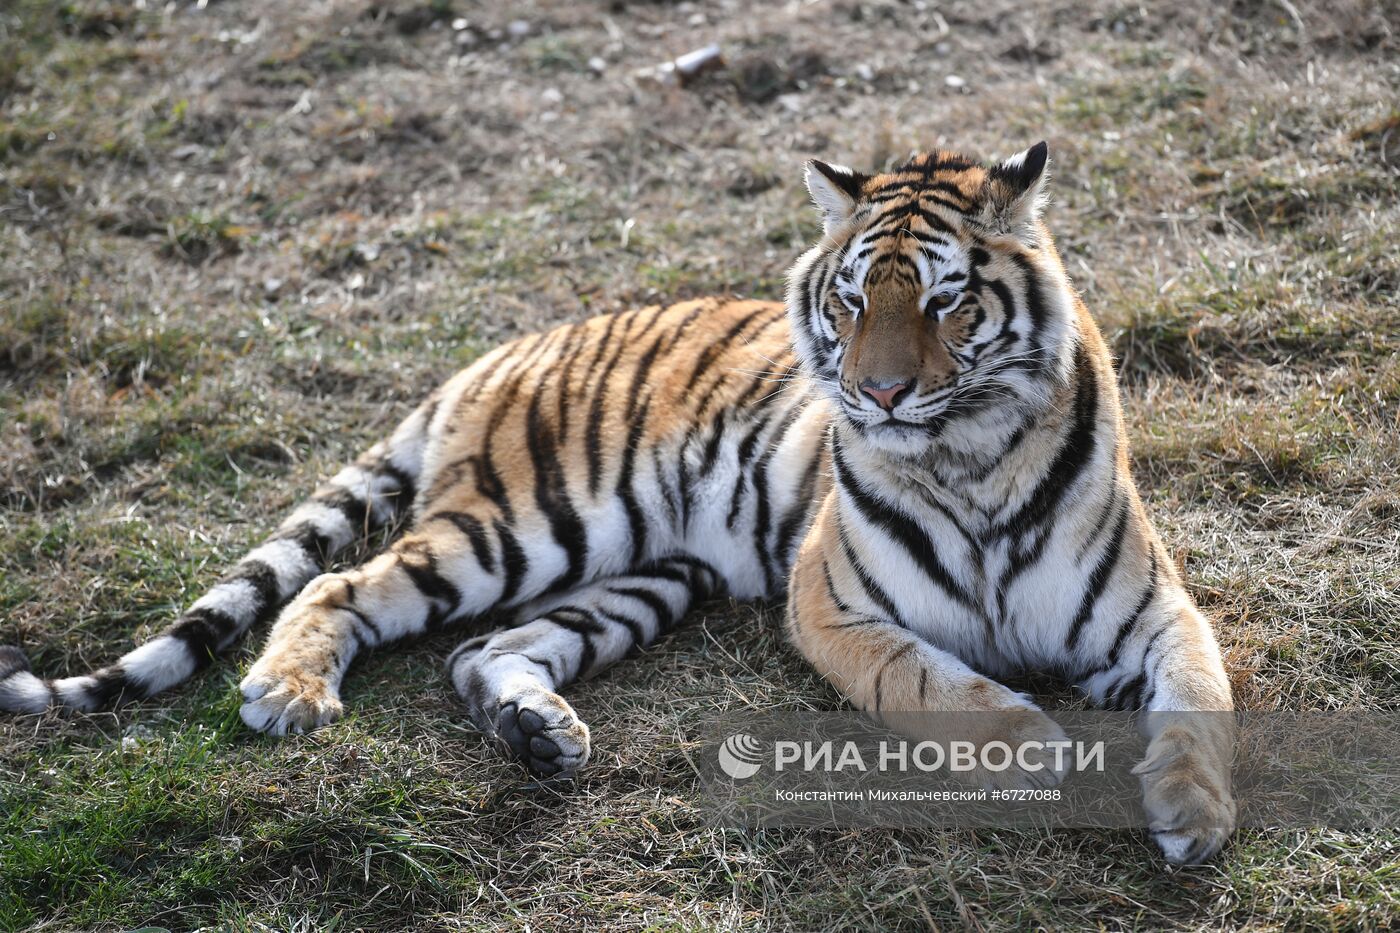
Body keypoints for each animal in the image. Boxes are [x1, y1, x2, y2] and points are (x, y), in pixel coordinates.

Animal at [8, 141, 1237, 862]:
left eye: (943, 301)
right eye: (849, 301)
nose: (880, 392)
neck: (967, 455)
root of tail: (503, 347)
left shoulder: (1149, 611)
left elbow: (1198, 692)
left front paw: (1193, 811)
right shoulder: (832, 607)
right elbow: (937, 684)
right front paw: (1032, 748)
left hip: (648, 572)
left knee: (480, 651)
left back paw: (537, 731)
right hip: (521, 526)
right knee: (342, 584)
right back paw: (289, 693)